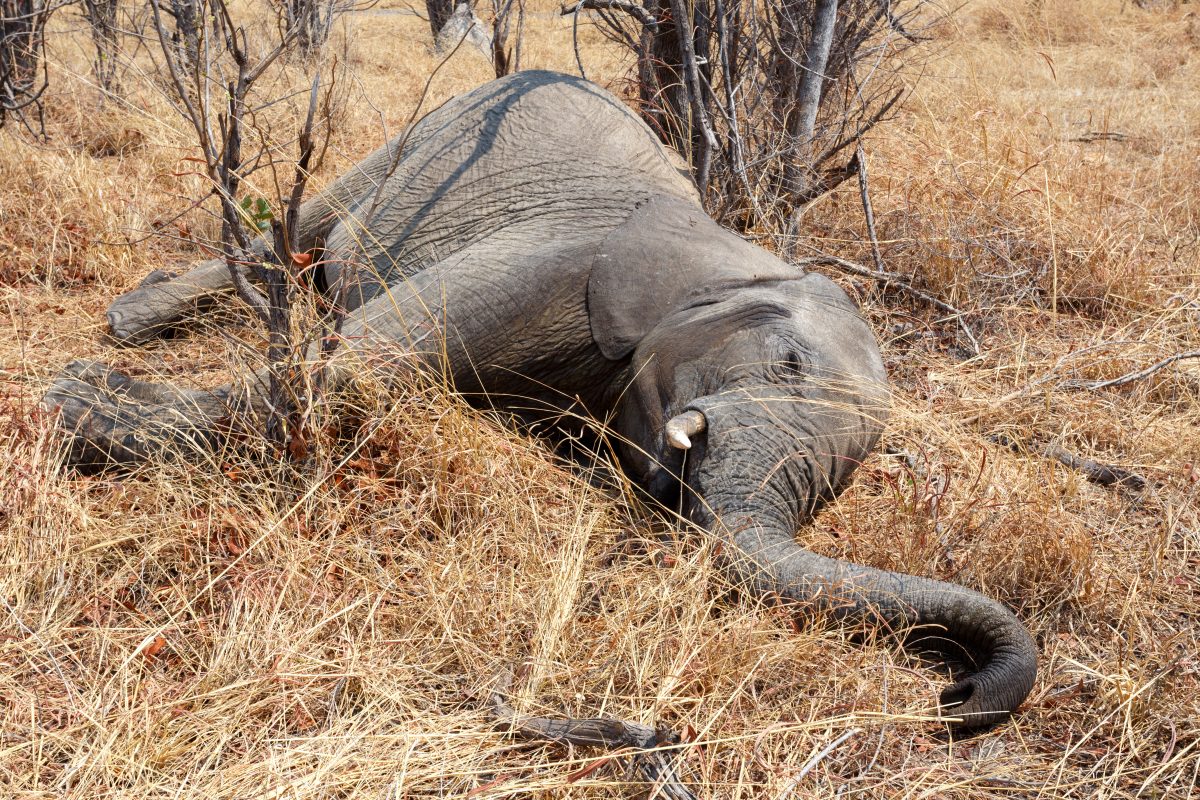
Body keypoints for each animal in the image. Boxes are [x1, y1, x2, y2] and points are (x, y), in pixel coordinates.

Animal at [44, 70, 1041, 734]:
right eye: (787, 362)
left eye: (843, 482)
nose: (953, 695)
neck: (735, 257)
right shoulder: (563, 260)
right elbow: (361, 366)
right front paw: (75, 404)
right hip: (428, 133)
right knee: (300, 228)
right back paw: (132, 321)